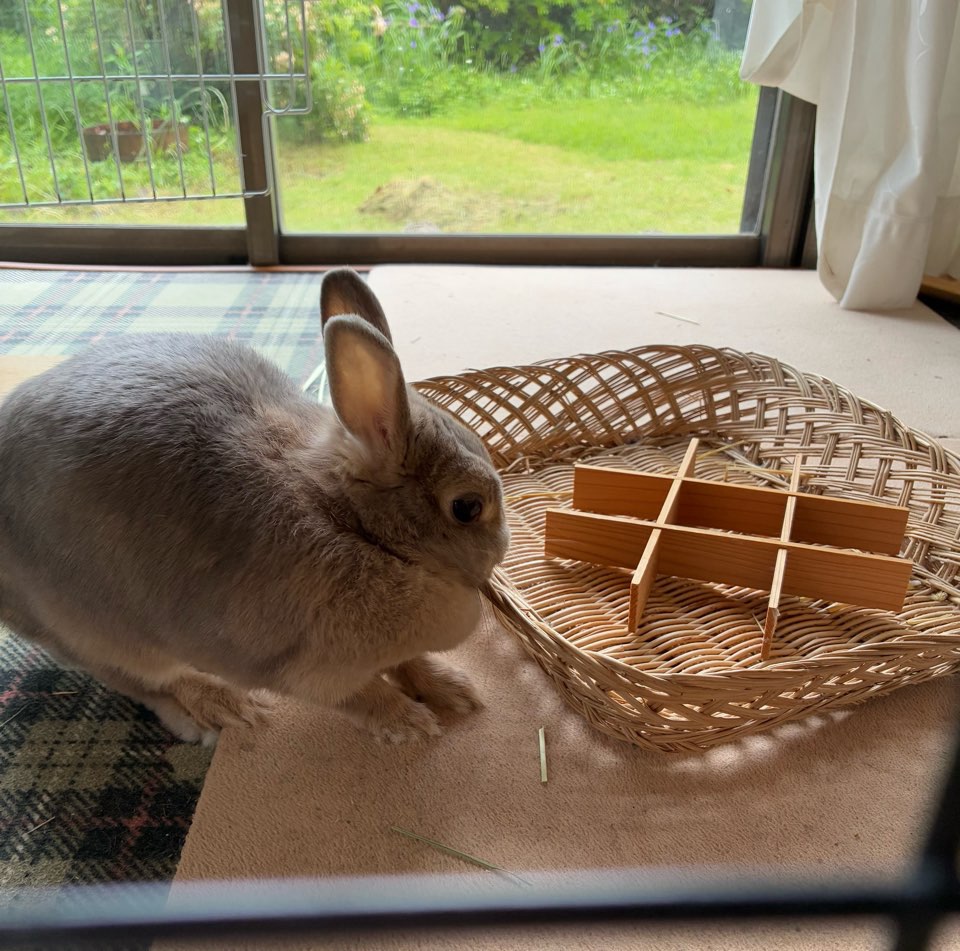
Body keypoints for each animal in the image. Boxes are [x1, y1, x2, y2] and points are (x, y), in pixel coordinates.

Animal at [0, 268, 510, 745]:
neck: (352, 524)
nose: (501, 550)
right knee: (144, 681)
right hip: (98, 631)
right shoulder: (312, 670)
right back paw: (222, 710)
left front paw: (455, 690)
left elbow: (410, 662)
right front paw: (411, 725)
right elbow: (366, 694)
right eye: (467, 507)